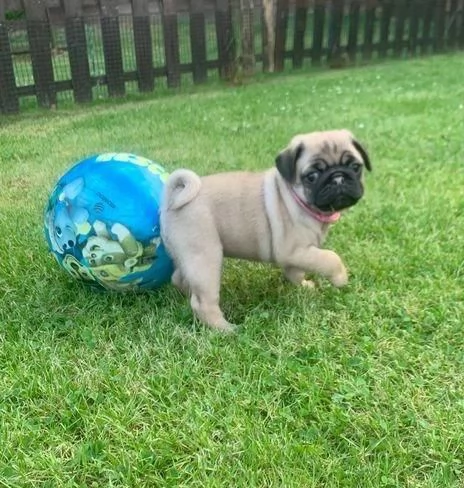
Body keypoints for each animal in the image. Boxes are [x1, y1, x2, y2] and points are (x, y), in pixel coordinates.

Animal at [161, 130, 372, 332]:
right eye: (312, 176)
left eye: (356, 167)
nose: (338, 178)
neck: (295, 197)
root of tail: (171, 200)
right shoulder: (295, 251)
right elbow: (330, 258)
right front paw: (340, 278)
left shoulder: (295, 257)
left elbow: (296, 273)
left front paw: (304, 287)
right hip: (206, 258)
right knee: (203, 302)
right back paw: (226, 329)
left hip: (188, 257)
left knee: (179, 279)